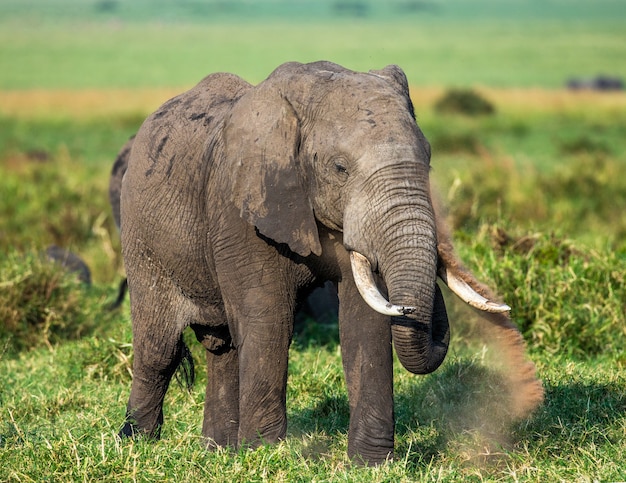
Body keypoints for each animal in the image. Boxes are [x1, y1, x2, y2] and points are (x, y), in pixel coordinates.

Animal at [118, 60, 540, 466]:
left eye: (430, 158)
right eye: (340, 168)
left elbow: (364, 323)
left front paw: (370, 466)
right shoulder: (239, 209)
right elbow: (268, 322)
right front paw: (266, 458)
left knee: (222, 348)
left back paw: (217, 452)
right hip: (140, 236)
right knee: (160, 348)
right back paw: (138, 445)